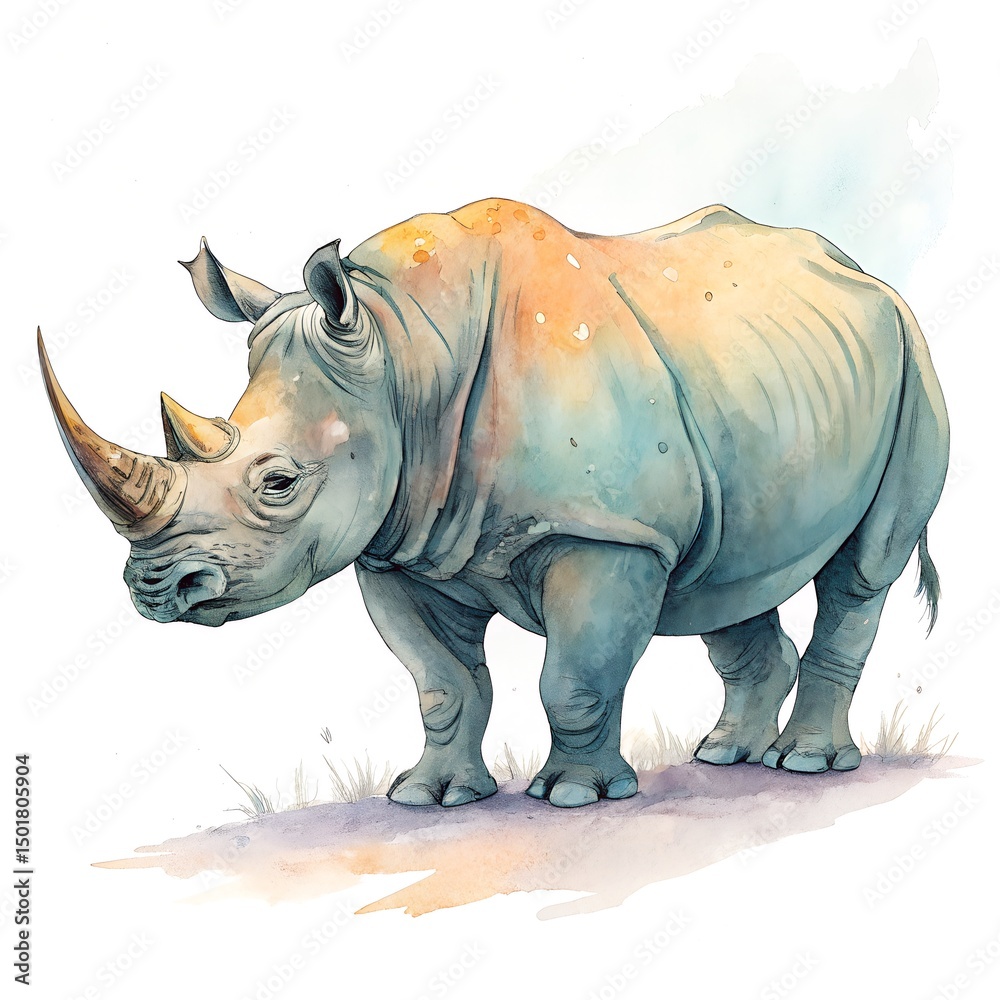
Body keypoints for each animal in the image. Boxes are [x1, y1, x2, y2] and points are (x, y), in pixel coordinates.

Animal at [39, 199, 949, 808]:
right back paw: (725, 757)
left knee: (860, 572)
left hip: (911, 352)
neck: (404, 352)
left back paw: (804, 766)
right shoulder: (397, 545)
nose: (156, 590)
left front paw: (576, 796)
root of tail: (863, 274)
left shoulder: (605, 535)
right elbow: (442, 683)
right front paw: (430, 797)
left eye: (279, 483)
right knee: (724, 580)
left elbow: (575, 678)